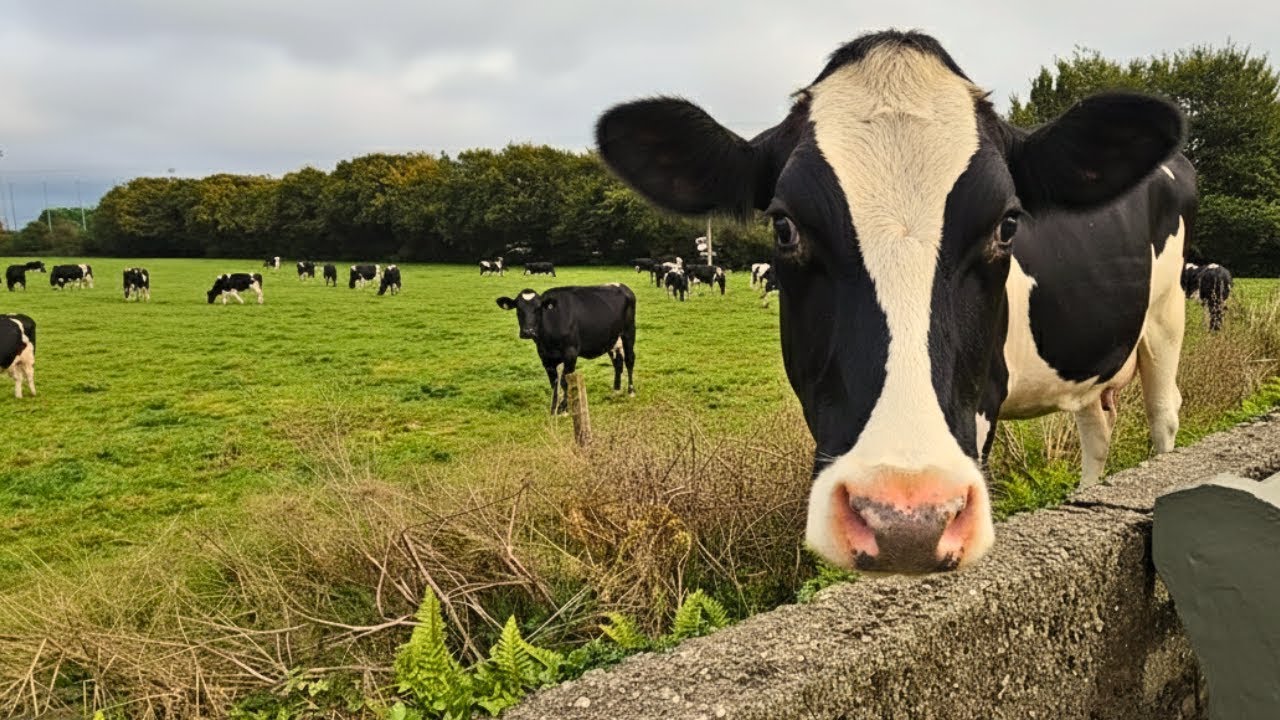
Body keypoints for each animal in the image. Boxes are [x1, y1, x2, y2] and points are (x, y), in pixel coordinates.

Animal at [496, 284, 637, 414]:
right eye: (518, 309)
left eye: (538, 309)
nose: (528, 332)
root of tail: (622, 286)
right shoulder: (545, 356)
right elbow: (554, 383)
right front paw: (554, 409)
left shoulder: (571, 353)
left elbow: (564, 381)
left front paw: (564, 408)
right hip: (612, 339)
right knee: (618, 363)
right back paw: (616, 391)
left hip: (628, 332)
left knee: (629, 360)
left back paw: (631, 391)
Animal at [596, 29, 1194, 574]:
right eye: (784, 226)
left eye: (1007, 224)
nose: (907, 521)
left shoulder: (983, 400)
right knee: (1097, 430)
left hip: (1167, 317)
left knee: (1164, 414)